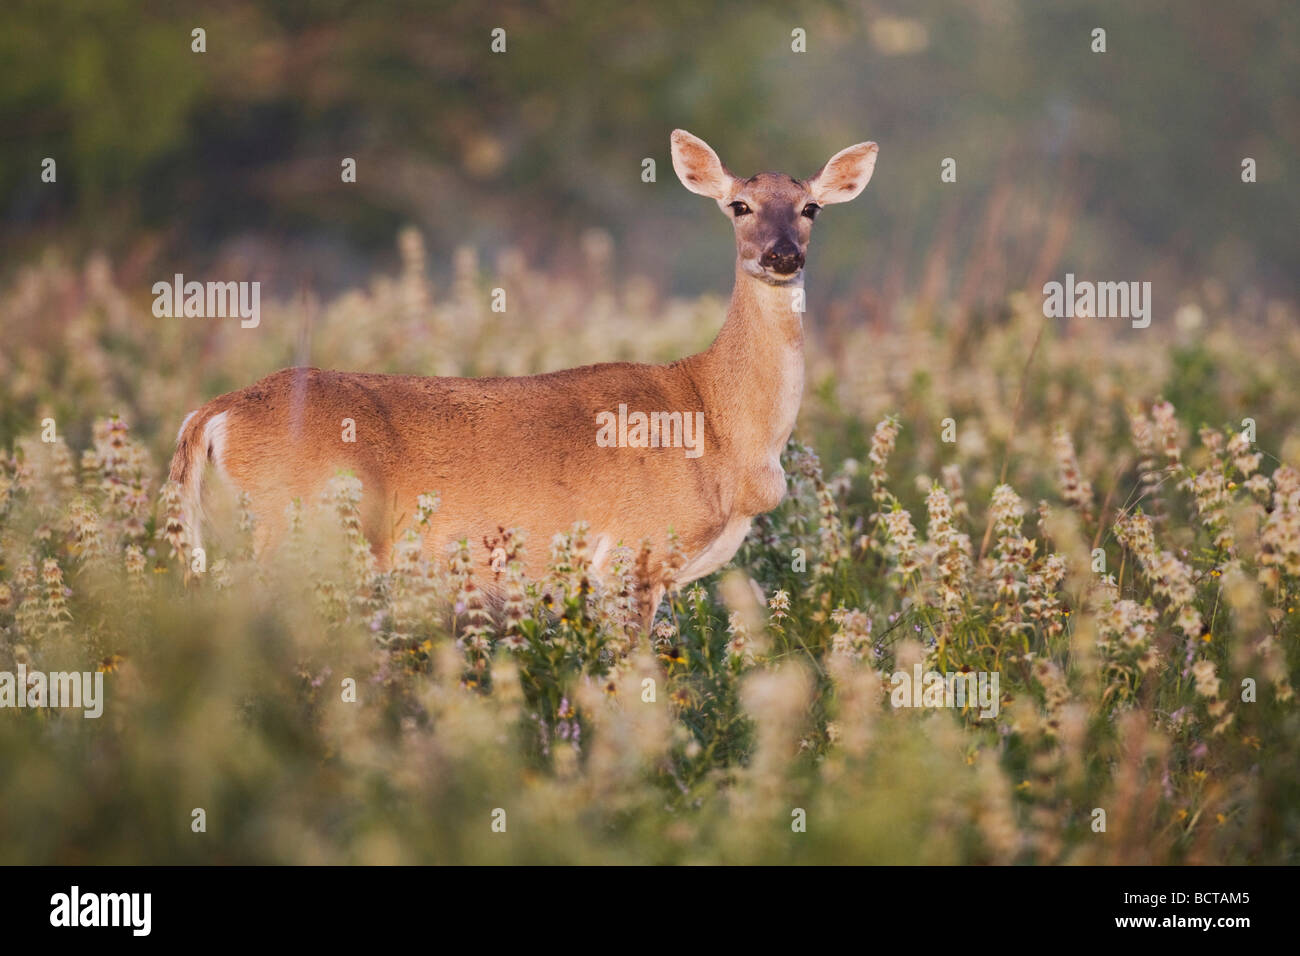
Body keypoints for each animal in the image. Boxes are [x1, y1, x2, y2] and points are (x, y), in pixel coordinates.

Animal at [170, 128, 873, 629]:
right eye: (738, 205)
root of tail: (212, 415)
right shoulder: (635, 552)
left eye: (811, 207)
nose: (781, 254)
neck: (717, 420)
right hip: (302, 524)